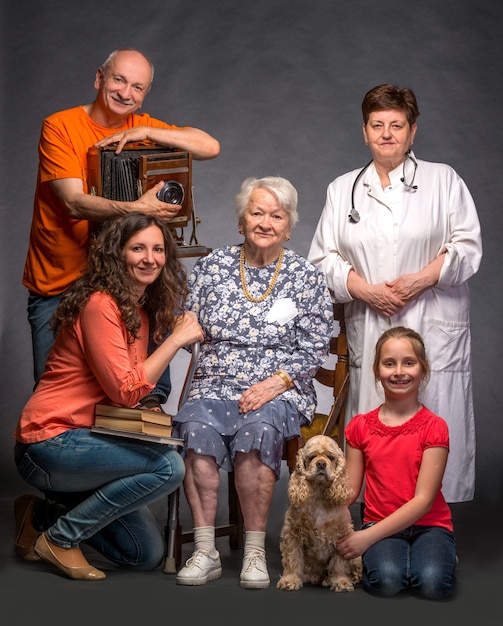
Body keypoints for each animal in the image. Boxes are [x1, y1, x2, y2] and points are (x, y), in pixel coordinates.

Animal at [276, 434, 362, 588]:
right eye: (312, 457)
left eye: (331, 457)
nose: (321, 464)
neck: (319, 496)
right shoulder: (292, 532)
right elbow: (292, 558)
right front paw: (290, 579)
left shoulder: (341, 534)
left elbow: (339, 563)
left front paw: (341, 581)